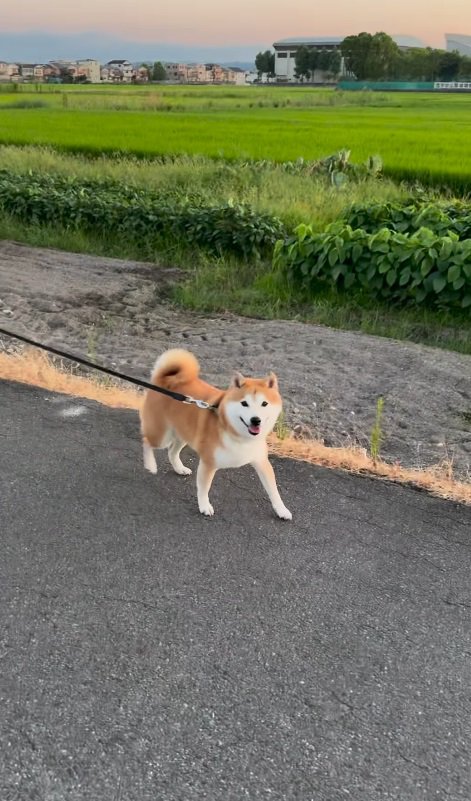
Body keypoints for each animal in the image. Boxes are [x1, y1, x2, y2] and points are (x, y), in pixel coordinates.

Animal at [140, 350, 294, 520]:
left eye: (264, 403)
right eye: (244, 403)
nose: (256, 420)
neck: (238, 436)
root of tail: (163, 379)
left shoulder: (261, 462)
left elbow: (274, 491)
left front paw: (282, 510)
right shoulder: (209, 463)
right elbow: (204, 489)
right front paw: (204, 506)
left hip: (185, 433)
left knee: (172, 451)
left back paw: (180, 468)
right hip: (161, 435)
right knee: (147, 441)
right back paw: (151, 465)